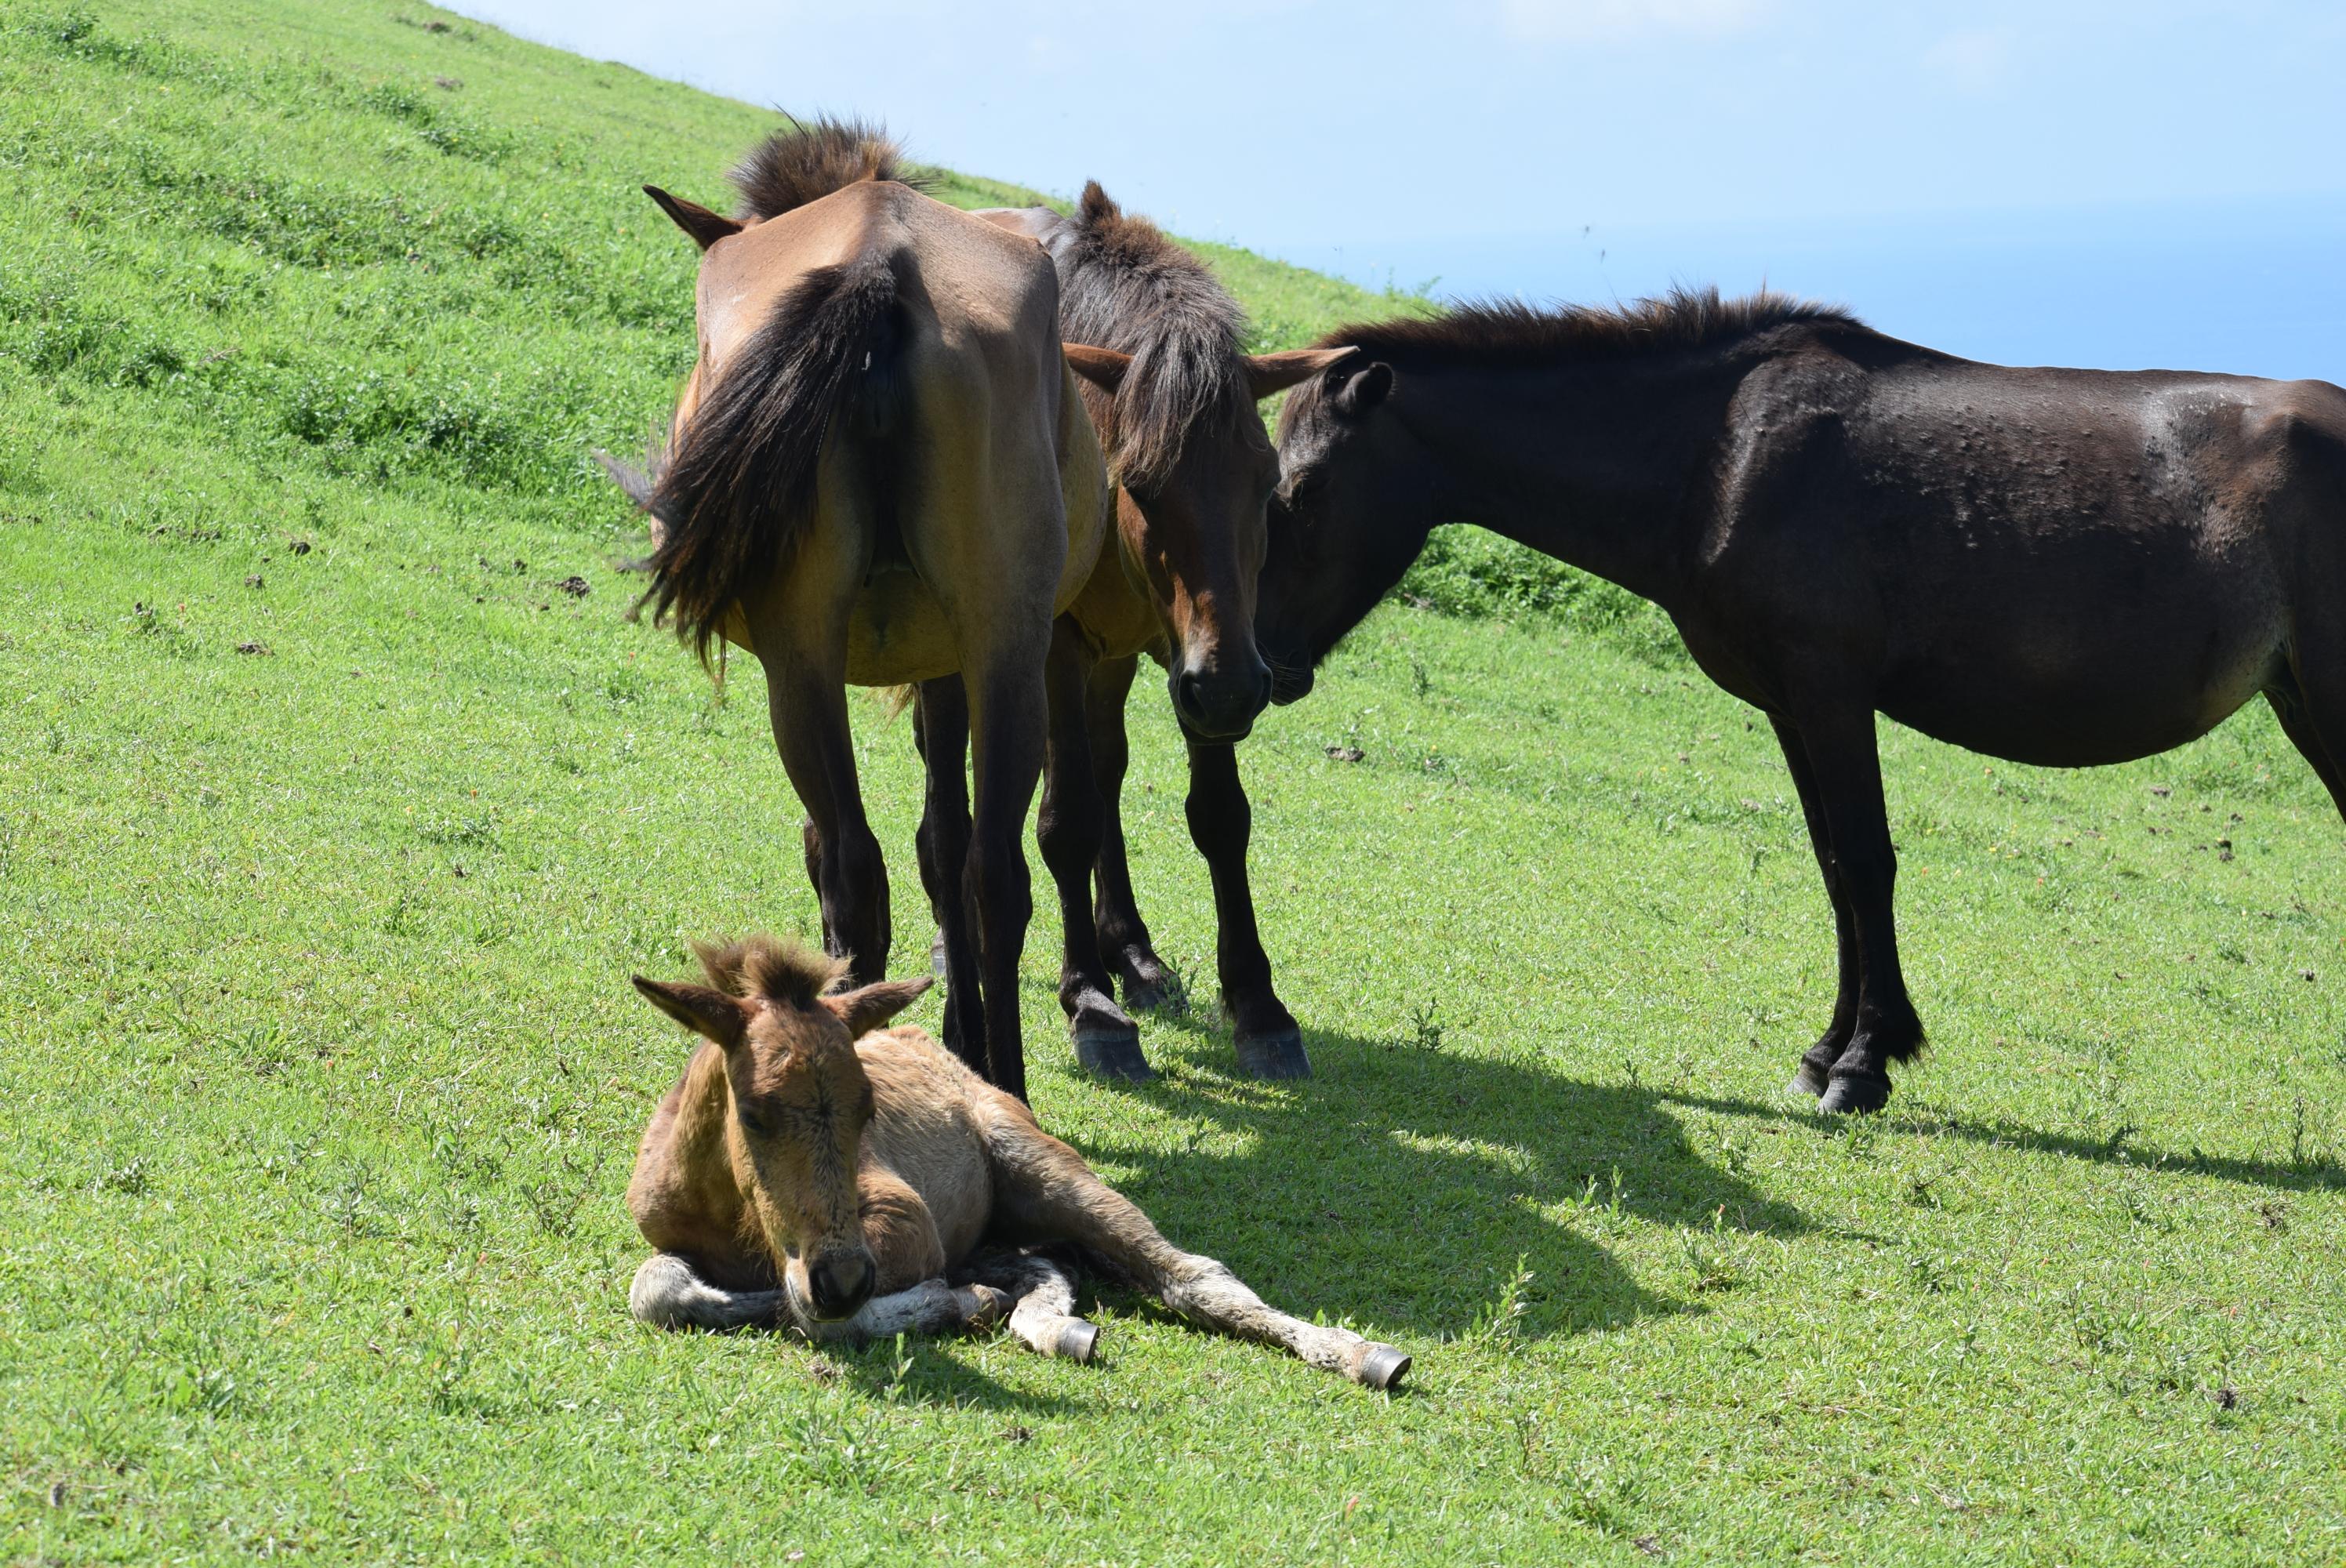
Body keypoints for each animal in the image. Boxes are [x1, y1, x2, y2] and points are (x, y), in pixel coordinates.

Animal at [614, 122, 1107, 1103]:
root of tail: (880, 258)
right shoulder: (942, 663)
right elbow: (939, 842)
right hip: (991, 647)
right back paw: (992, 1080)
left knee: (868, 866)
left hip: (816, 659)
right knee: (979, 873)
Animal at [614, 938, 1407, 1389]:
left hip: (1041, 1167)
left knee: (1193, 1276)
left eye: (869, 1108)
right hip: (996, 1230)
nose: (843, 1278)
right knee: (1048, 1264)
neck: (728, 1211)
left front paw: (946, 1305)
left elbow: (812, 1315)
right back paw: (1052, 1325)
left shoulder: (905, 1225)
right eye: (754, 1113)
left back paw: (1363, 1354)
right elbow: (657, 1291)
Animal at [891, 184, 1351, 1084]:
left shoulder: (1192, 659)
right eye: (1140, 481)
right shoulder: (1064, 647)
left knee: (1104, 771)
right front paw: (1091, 1004)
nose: (1238, 685)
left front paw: (1257, 1006)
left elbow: (1217, 815)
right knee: (956, 801)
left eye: (1266, 484)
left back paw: (1133, 952)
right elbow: (1063, 822)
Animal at [1238, 287, 2337, 1108]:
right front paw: (1831, 1050)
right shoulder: (1787, 701)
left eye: (1301, 491)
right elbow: (1833, 868)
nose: (1259, 670)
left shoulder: (1830, 687)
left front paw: (1863, 1066)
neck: (1719, 453)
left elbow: (1867, 861)